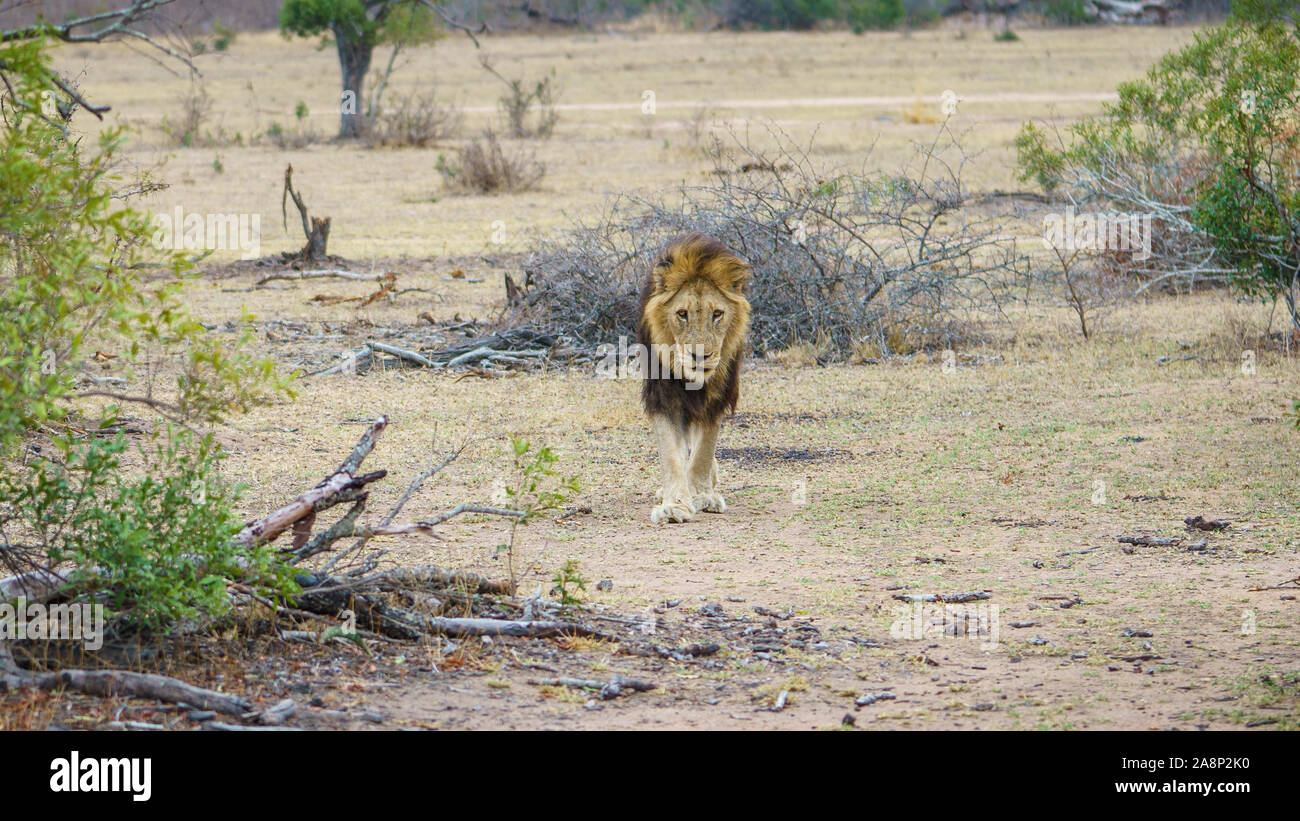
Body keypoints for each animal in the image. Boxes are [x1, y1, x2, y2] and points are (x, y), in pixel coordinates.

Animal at [637, 233, 751, 524]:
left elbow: (703, 452)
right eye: (682, 314)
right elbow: (672, 454)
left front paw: (702, 496)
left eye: (717, 314)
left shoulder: (717, 397)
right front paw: (675, 505)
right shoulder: (664, 397)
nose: (700, 356)